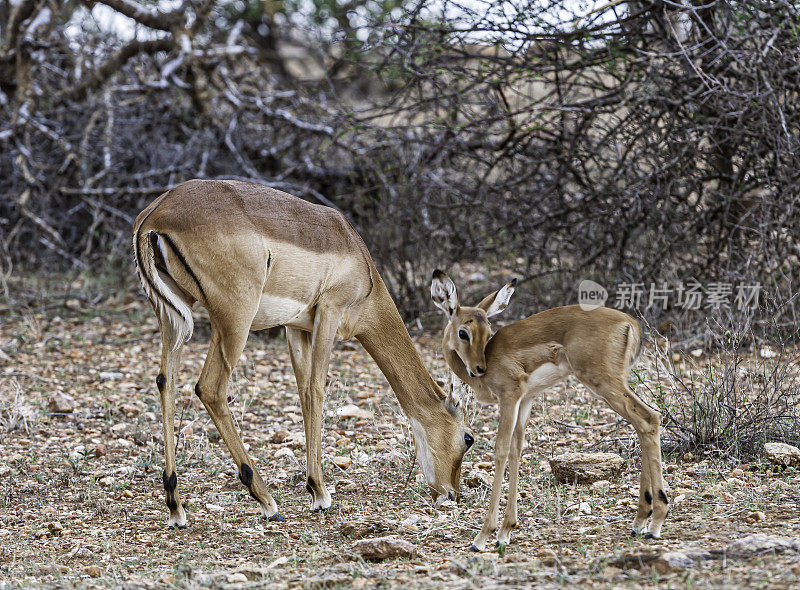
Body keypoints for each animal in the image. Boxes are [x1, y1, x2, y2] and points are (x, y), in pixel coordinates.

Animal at [133, 179, 476, 528]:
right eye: (468, 438)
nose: (452, 494)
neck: (361, 265)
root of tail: (156, 214)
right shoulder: (329, 313)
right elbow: (316, 391)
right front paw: (321, 493)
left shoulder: (297, 328)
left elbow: (303, 393)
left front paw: (314, 490)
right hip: (234, 322)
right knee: (210, 388)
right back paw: (267, 501)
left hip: (173, 317)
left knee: (165, 382)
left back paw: (176, 506)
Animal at [434, 270, 664, 552]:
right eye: (464, 332)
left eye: (487, 331)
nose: (479, 369)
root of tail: (631, 323)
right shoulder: (525, 400)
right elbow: (516, 451)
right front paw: (506, 531)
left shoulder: (509, 397)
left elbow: (500, 451)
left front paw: (483, 536)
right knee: (644, 423)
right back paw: (641, 521)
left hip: (604, 383)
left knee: (649, 418)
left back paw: (655, 524)